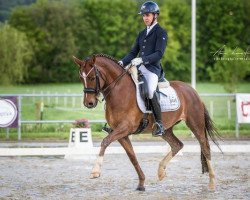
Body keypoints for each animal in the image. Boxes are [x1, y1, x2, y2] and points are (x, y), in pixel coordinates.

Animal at [72, 53, 221, 191]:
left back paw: (212, 183)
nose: (89, 103)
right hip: (166, 130)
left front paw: (95, 171)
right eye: (80, 78)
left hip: (195, 124)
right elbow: (132, 157)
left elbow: (105, 142)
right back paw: (161, 172)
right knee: (177, 145)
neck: (119, 91)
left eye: (92, 77)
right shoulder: (121, 134)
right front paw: (141, 183)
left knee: (205, 147)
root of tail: (193, 91)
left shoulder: (125, 128)